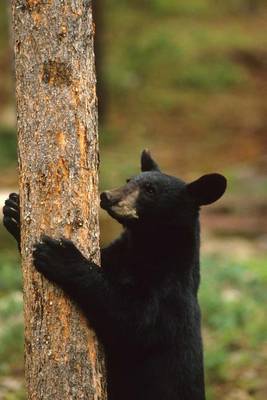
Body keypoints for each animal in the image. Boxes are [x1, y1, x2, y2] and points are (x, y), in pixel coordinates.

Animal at [2, 150, 228, 400]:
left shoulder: (169, 295)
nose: (107, 196)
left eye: (150, 190)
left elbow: (132, 319)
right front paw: (14, 212)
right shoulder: (119, 254)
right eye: (129, 180)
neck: (145, 247)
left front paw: (60, 255)